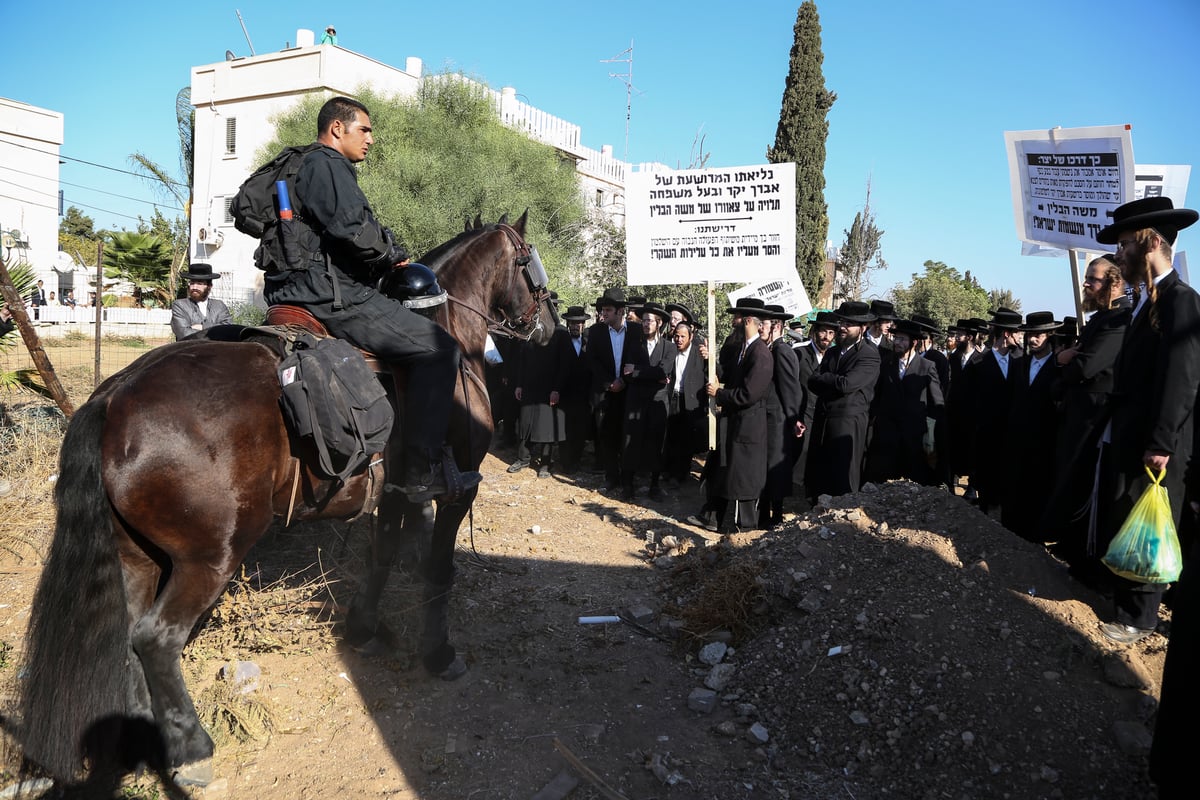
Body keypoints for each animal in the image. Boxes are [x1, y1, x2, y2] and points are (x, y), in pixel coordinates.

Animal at [16, 212, 554, 786]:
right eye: (530, 262)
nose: (549, 325)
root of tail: (115, 394)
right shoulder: (456, 491)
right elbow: (438, 571)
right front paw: (438, 651)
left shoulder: (396, 496)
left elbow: (383, 557)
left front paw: (364, 629)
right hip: (211, 557)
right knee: (156, 639)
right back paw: (191, 748)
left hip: (137, 555)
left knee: (127, 638)